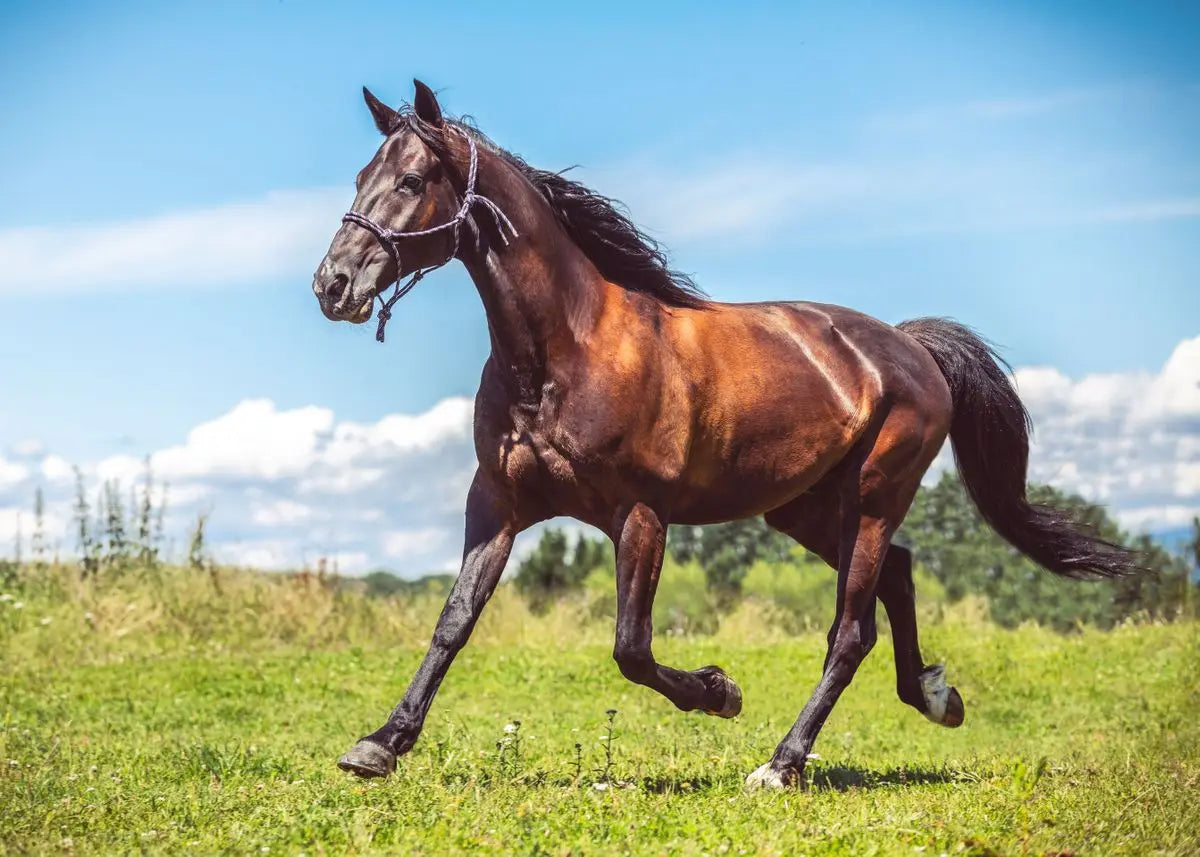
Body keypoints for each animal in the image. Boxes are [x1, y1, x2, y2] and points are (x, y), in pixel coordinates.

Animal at [311, 80, 1136, 788]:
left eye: (411, 181)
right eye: (359, 175)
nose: (332, 285)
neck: (565, 352)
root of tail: (910, 346)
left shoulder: (641, 515)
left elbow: (631, 647)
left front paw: (719, 690)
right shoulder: (498, 502)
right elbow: (453, 622)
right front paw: (379, 744)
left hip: (873, 496)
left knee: (850, 630)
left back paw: (782, 763)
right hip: (803, 509)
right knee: (897, 575)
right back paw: (935, 695)